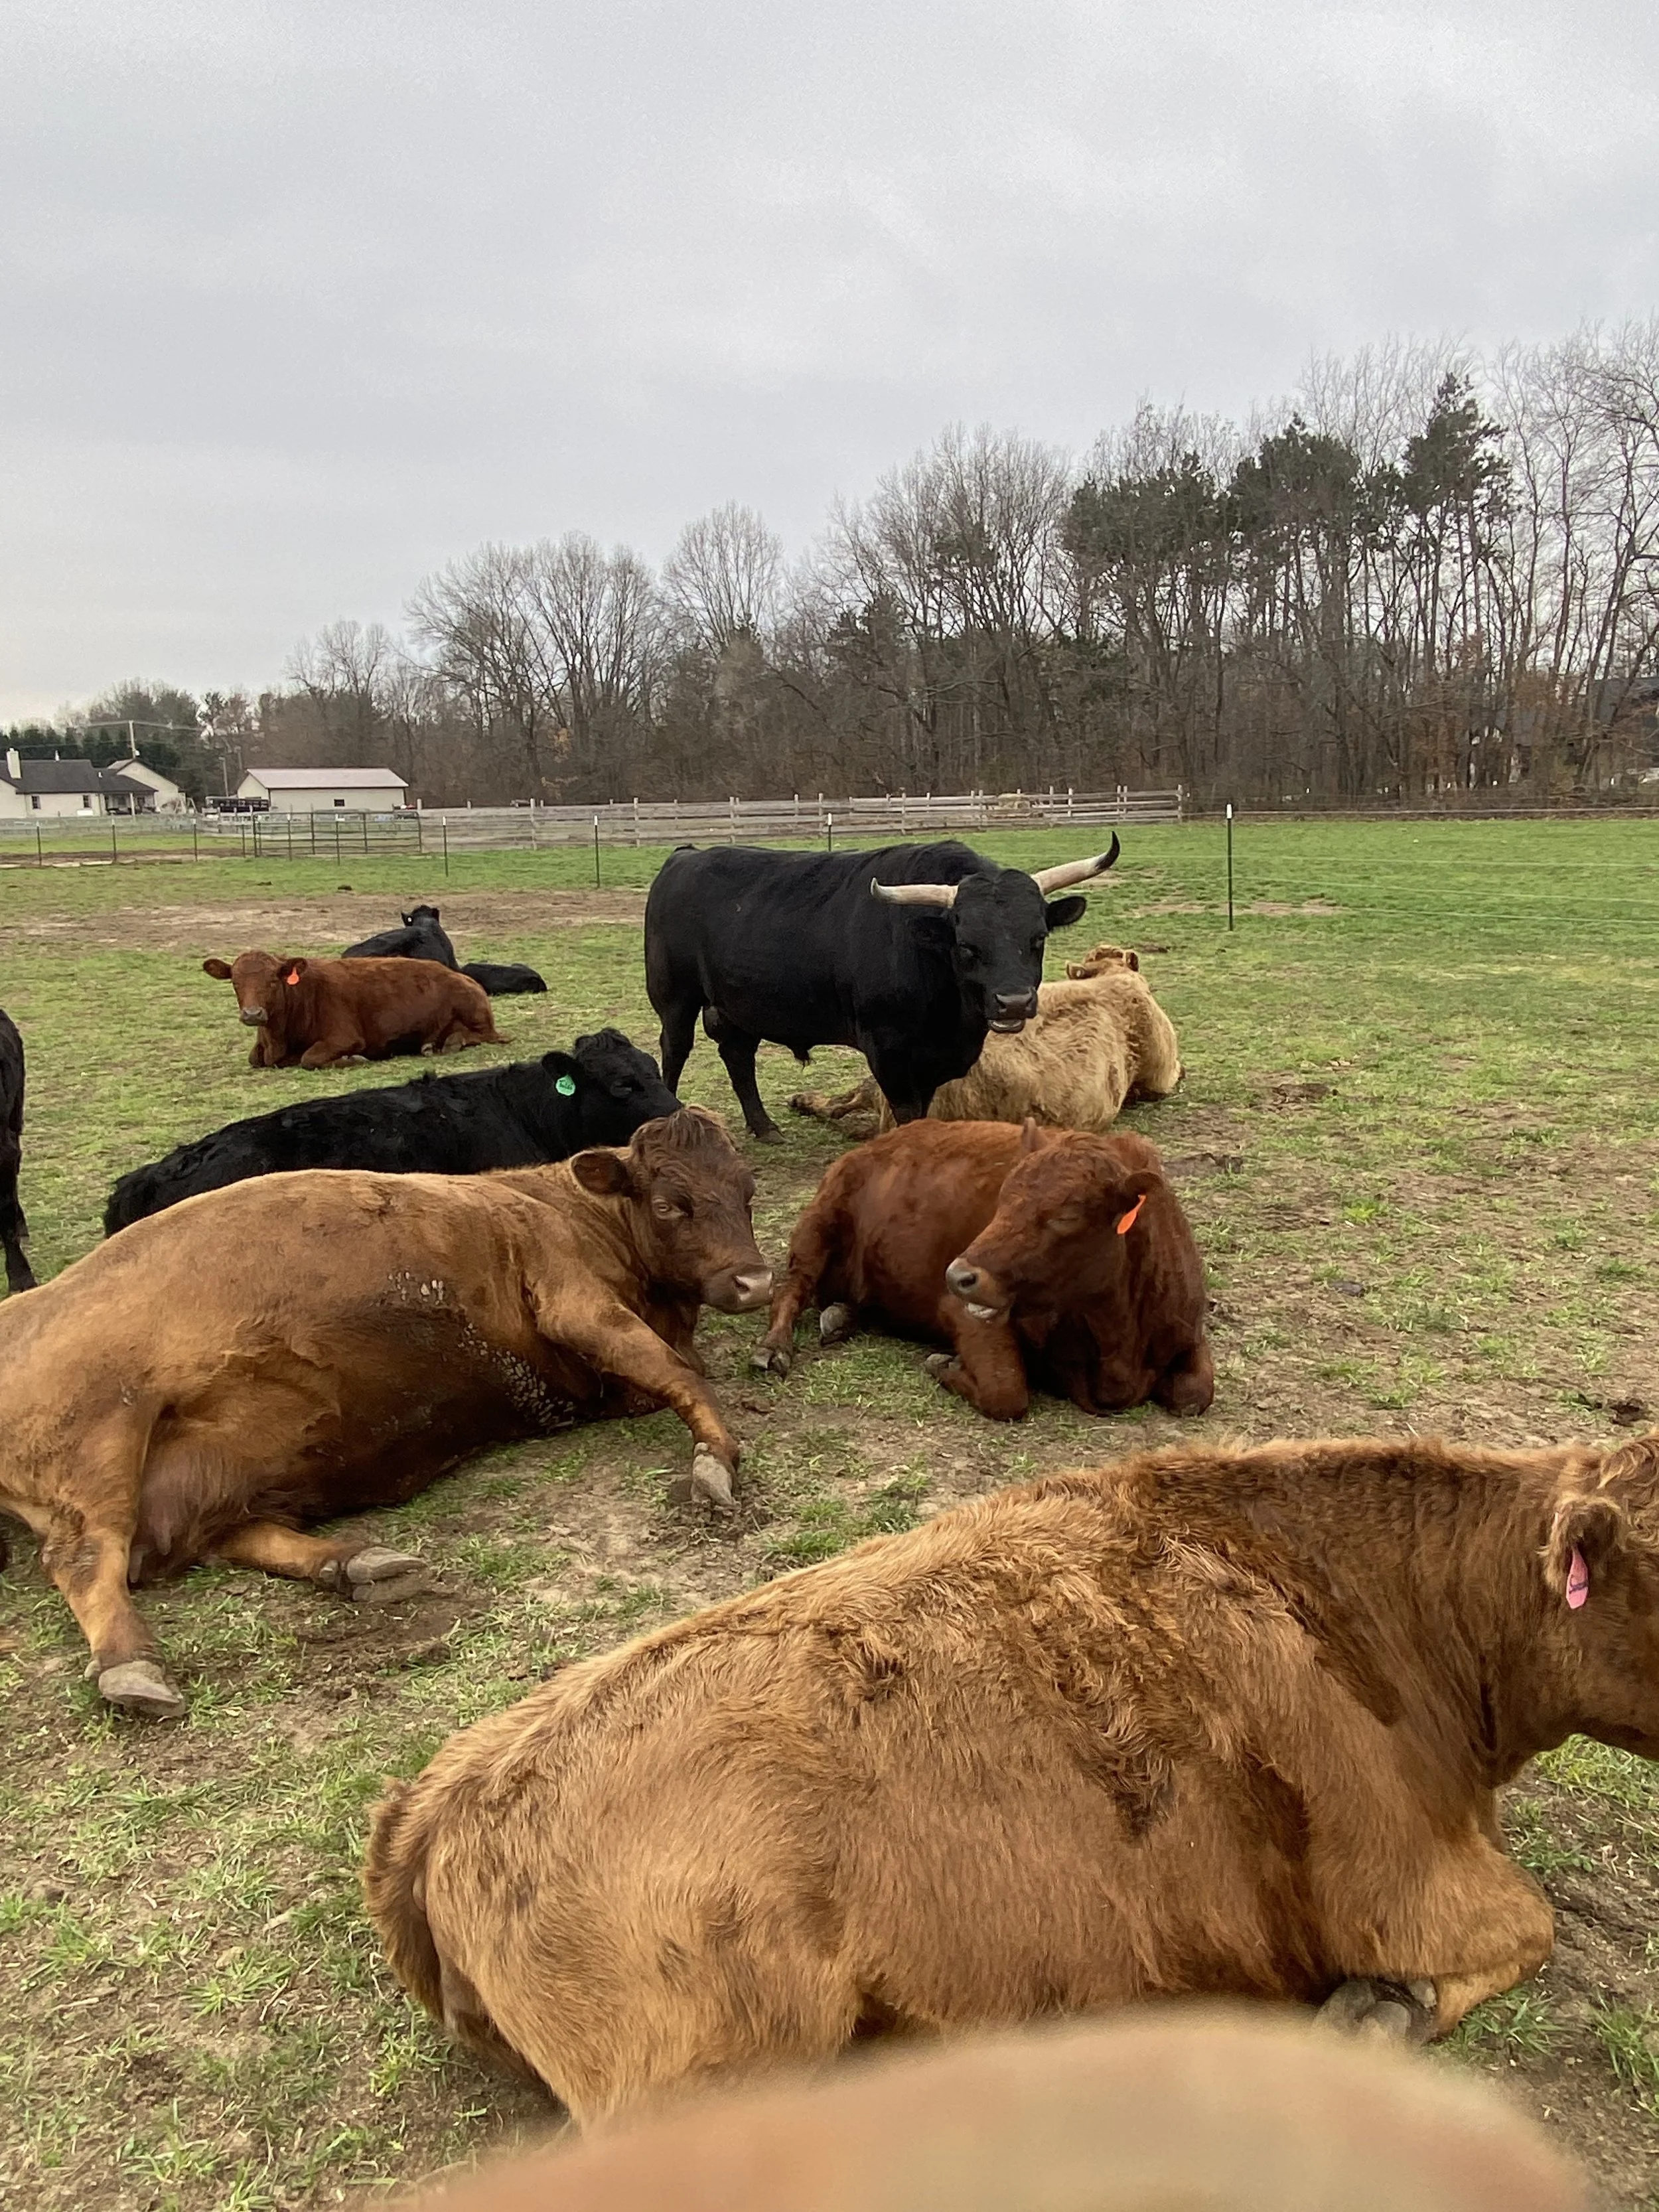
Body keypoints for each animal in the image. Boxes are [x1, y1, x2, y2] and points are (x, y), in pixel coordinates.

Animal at [0, 1108, 769, 1720]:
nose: (755, 1281)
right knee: (83, 1555)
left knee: (216, 1538)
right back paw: (130, 1663)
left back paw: (354, 1562)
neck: (566, 1206)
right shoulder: (574, 1300)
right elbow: (680, 1374)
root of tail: (22, 1308)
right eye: (670, 1203)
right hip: (103, 1434)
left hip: (210, 1481)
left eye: (747, 1189)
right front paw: (716, 1459)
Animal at [202, 951, 501, 1068]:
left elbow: (310, 1058)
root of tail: (460, 976)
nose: (253, 1014)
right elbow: (257, 1059)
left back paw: (450, 1043)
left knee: (487, 1036)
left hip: (474, 1013)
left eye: (273, 981)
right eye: (235, 982)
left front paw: (352, 1059)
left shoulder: (345, 1037)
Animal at [643, 837, 1120, 1141]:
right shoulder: (887, 1050)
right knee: (675, 1048)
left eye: (1037, 938)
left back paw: (765, 1128)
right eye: (967, 945)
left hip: (739, 1005)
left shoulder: (935, 1061)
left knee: (738, 1056)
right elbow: (907, 1114)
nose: (1014, 1002)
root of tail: (685, 856)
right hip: (675, 997)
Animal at [756, 1119, 1212, 1419]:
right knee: (791, 1288)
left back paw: (843, 1317)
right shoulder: (965, 1313)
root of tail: (876, 1143)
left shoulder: (1187, 1330)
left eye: (1067, 1217)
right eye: (1003, 1198)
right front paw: (942, 1364)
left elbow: (1196, 1393)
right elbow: (1005, 1391)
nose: (958, 1275)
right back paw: (774, 1348)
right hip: (818, 1226)